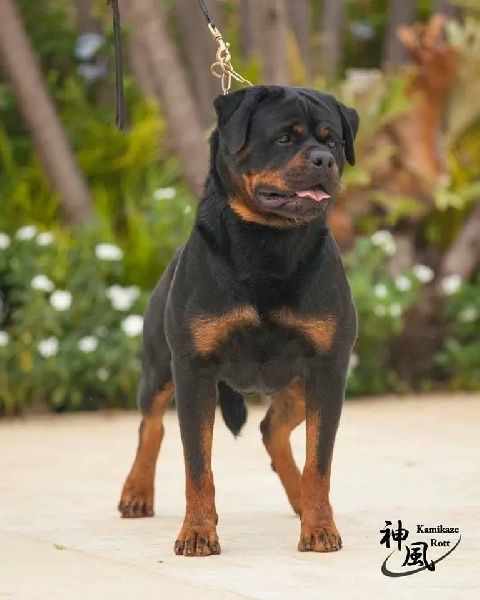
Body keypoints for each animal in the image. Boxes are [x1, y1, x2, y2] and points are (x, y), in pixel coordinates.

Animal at [118, 85, 359, 557]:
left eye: (335, 141)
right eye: (284, 138)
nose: (323, 160)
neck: (268, 243)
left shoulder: (328, 367)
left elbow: (319, 460)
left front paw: (319, 526)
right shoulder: (193, 369)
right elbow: (197, 464)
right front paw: (197, 532)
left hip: (299, 382)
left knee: (273, 429)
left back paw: (300, 501)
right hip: (158, 367)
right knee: (150, 425)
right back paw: (136, 492)